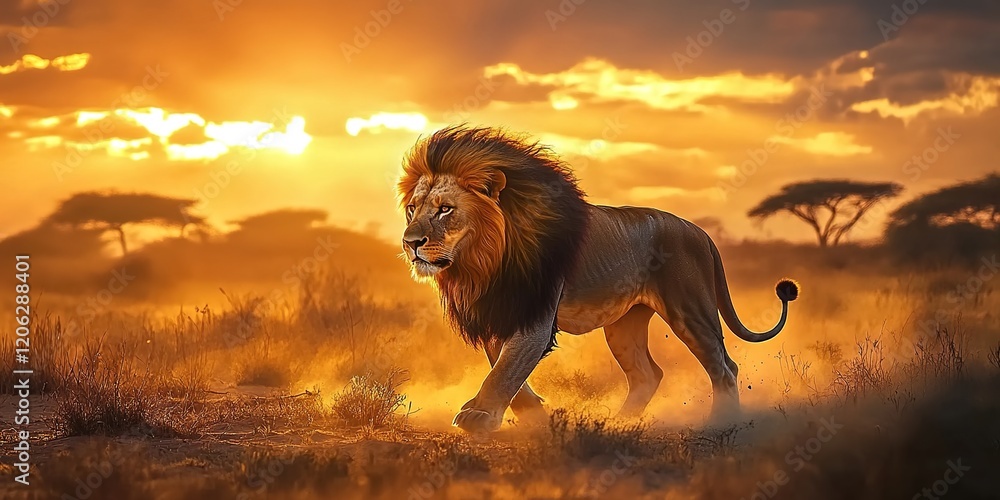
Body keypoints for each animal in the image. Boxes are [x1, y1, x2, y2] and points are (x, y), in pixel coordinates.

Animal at [397, 125, 798, 433]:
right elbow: (505, 368)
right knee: (647, 374)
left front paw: (480, 416)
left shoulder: (535, 316)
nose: (410, 243)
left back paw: (721, 422)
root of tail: (700, 232)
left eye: (445, 209)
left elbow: (506, 369)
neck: (482, 263)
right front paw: (533, 416)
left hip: (691, 310)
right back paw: (619, 424)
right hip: (624, 325)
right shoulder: (501, 311)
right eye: (412, 209)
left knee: (724, 367)